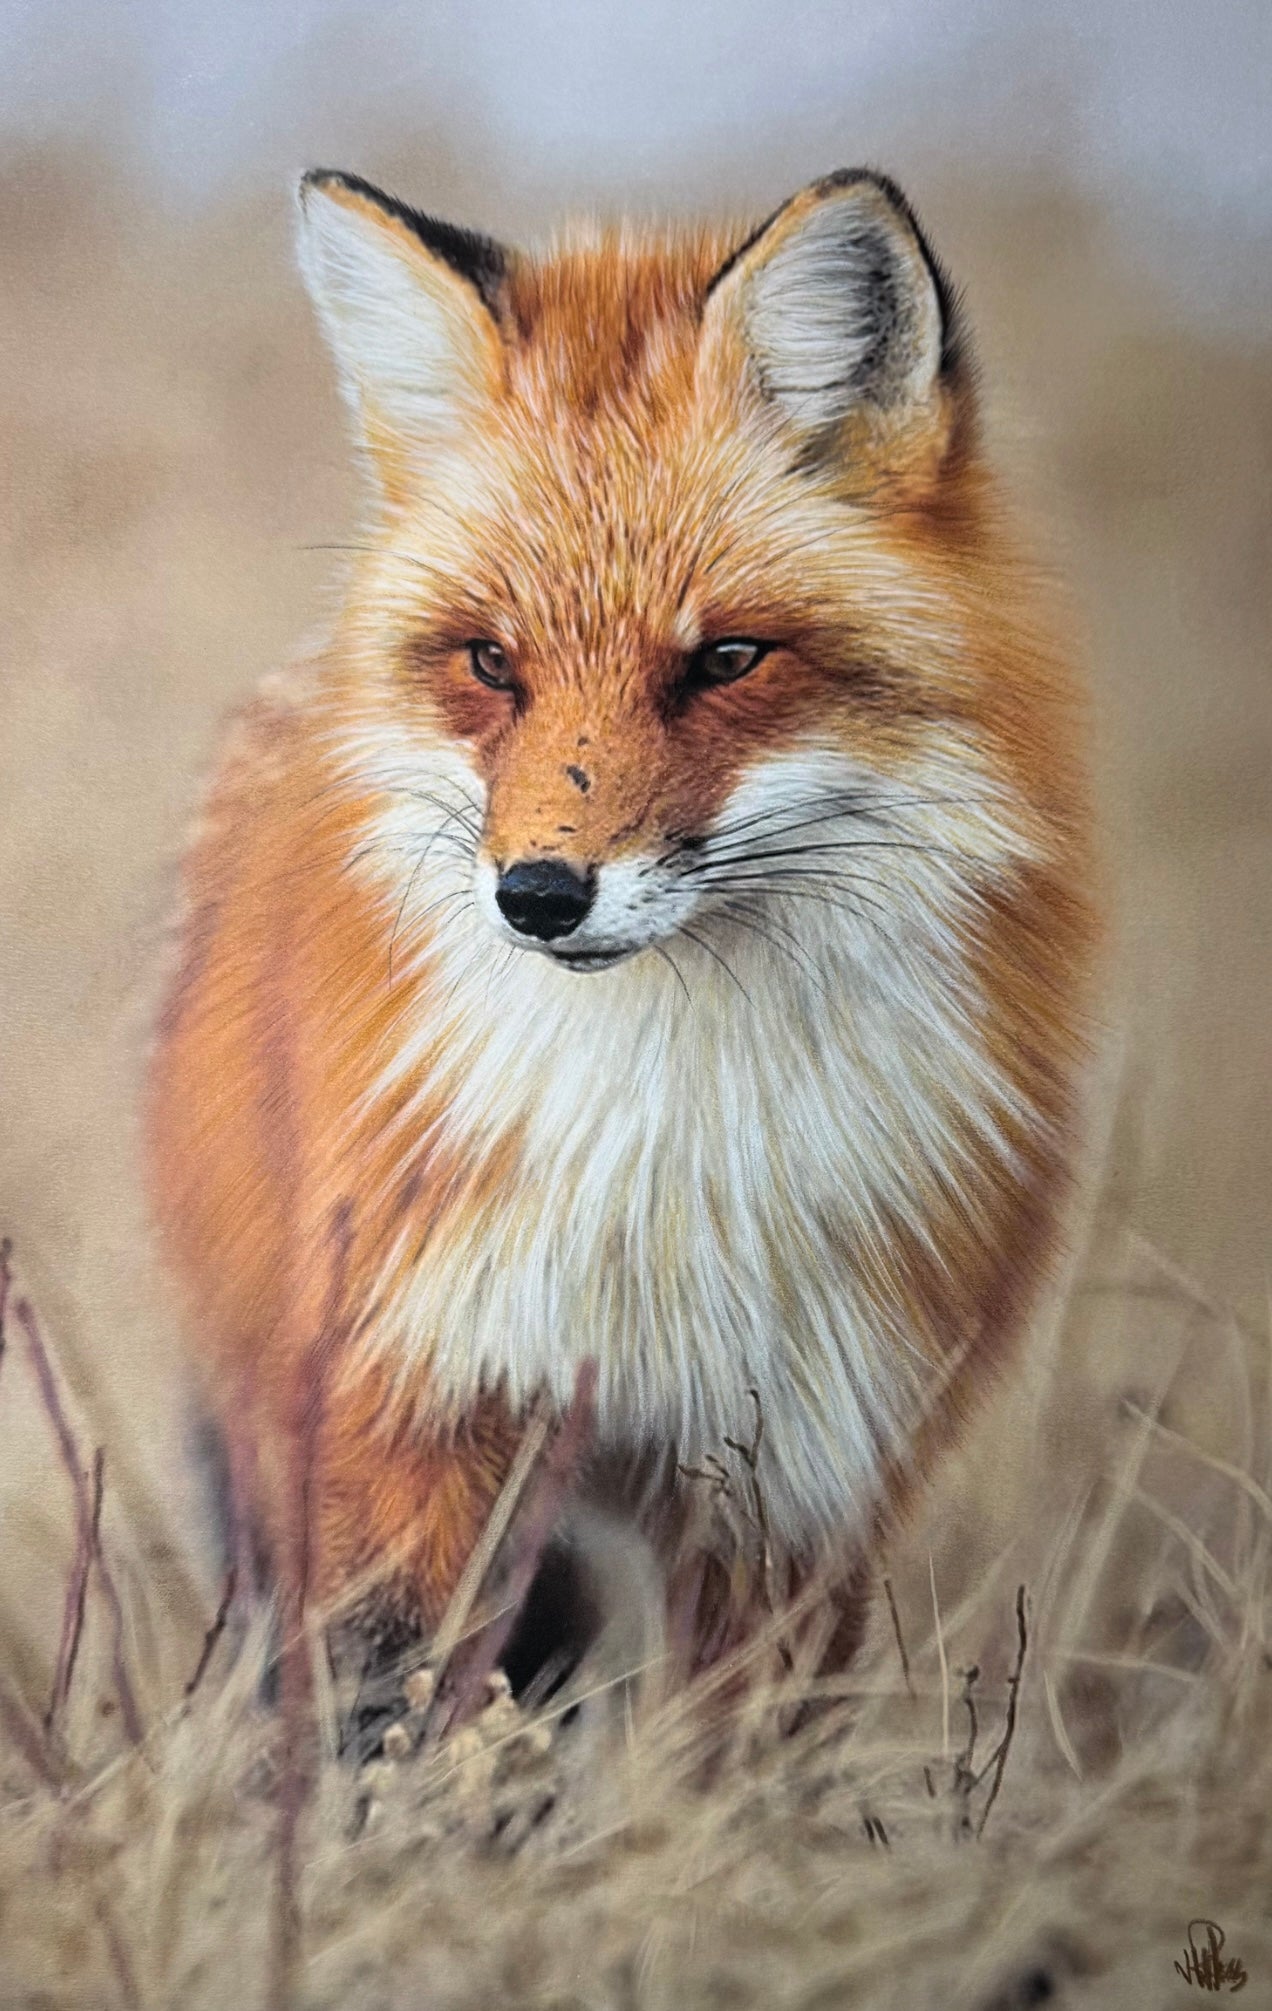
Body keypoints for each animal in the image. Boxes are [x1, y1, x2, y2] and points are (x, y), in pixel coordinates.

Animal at [147, 164, 1095, 1698]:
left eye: (725, 661)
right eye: (490, 662)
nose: (539, 893)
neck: (661, 1150)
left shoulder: (800, 1467)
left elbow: (736, 1742)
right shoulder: (410, 1396)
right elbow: (388, 1709)